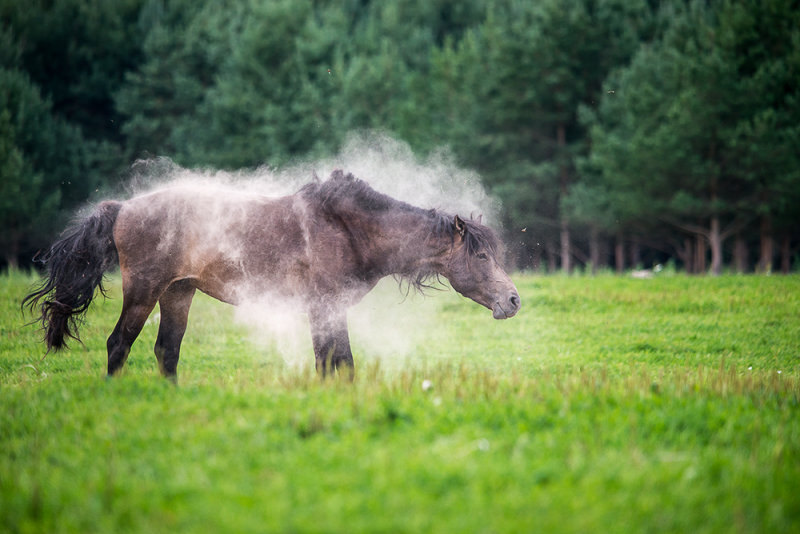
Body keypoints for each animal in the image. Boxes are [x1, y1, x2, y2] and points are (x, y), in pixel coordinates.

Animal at [21, 170, 520, 384]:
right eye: (480, 256)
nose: (514, 300)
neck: (349, 229)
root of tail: (123, 207)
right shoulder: (324, 306)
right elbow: (337, 361)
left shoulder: (326, 309)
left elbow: (332, 360)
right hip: (143, 292)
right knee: (118, 345)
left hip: (178, 294)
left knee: (167, 351)